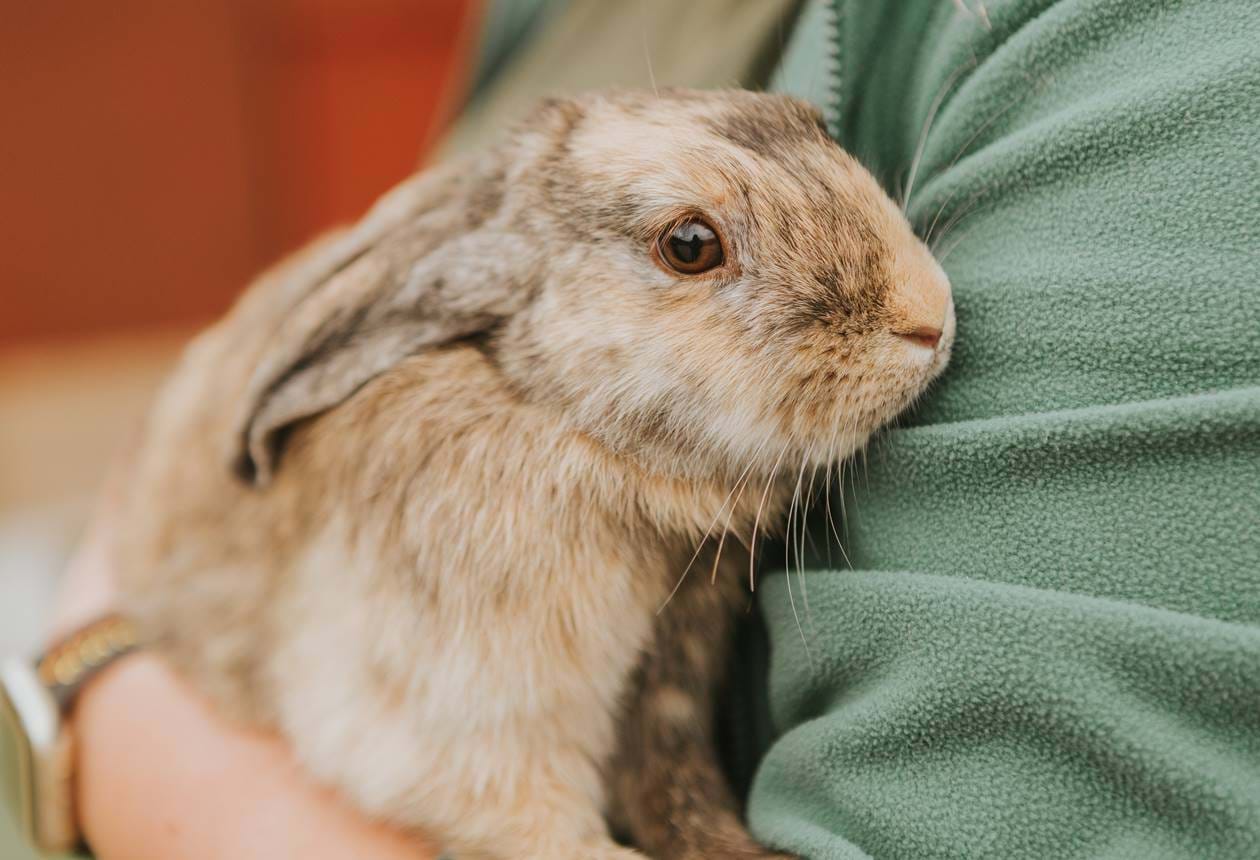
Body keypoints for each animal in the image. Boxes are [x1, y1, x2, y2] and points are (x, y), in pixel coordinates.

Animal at [114, 89, 954, 859]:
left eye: (812, 121)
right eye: (689, 244)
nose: (929, 316)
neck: (559, 416)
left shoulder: (667, 697)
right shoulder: (467, 718)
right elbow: (536, 824)